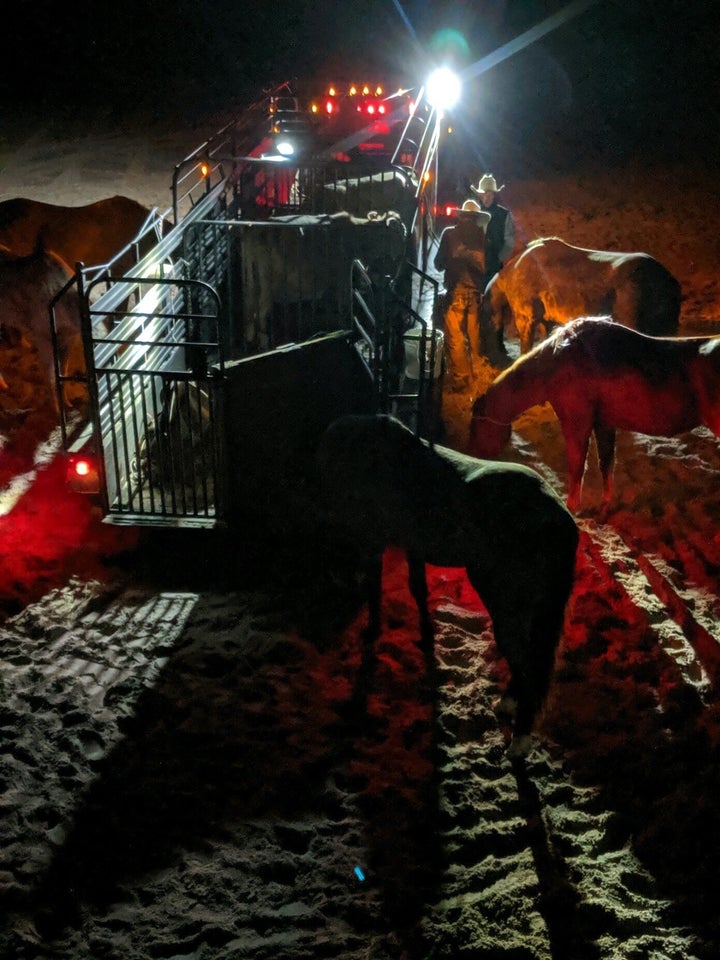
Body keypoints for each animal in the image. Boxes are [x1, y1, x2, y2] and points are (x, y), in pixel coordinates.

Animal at [239, 210, 408, 352]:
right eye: (400, 232)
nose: (403, 253)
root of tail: (252, 230)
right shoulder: (342, 278)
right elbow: (344, 307)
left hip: (251, 281)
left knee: (249, 309)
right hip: (266, 282)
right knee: (260, 312)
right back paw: (264, 345)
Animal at [318, 412, 576, 756]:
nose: (335, 575)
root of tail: (561, 519)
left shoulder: (375, 540)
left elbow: (375, 588)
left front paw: (372, 631)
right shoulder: (412, 544)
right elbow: (417, 588)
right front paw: (426, 635)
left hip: (507, 606)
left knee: (527, 665)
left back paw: (520, 739)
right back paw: (508, 705)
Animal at [470, 314, 720, 510]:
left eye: (476, 424)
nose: (475, 457)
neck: (557, 362)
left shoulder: (576, 422)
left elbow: (577, 466)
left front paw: (572, 507)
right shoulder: (603, 423)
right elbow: (606, 463)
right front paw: (606, 504)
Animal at [480, 236, 684, 360]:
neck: (508, 277)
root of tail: (669, 281)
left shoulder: (526, 317)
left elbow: (525, 348)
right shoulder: (547, 320)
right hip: (666, 324)